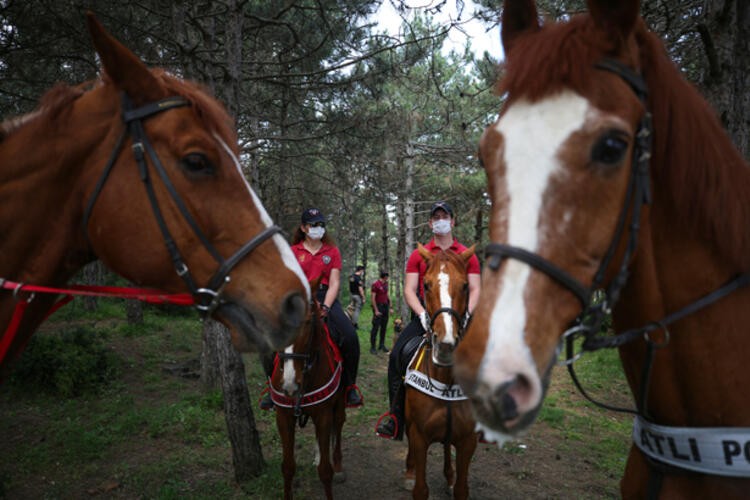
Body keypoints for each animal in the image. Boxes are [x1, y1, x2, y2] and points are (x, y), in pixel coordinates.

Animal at [402, 246, 478, 500]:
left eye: (465, 285)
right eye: (425, 285)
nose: (445, 346)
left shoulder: (468, 440)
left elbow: (462, 489)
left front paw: (454, 480)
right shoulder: (419, 436)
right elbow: (420, 489)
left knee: (446, 446)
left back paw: (449, 475)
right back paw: (409, 472)